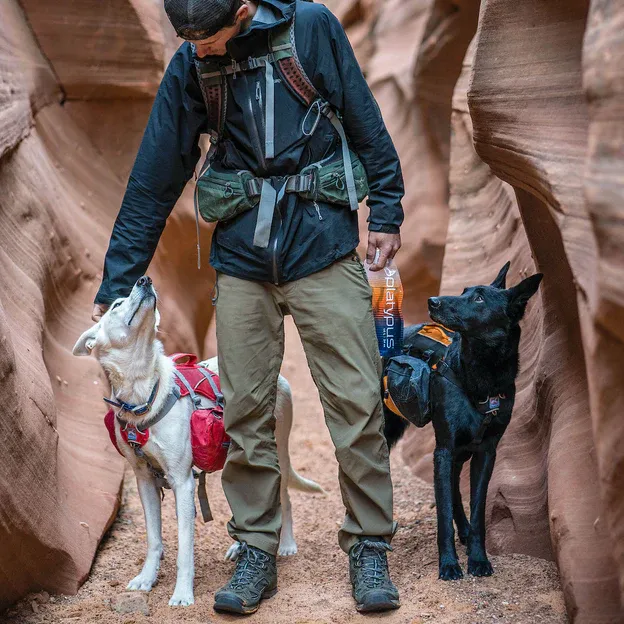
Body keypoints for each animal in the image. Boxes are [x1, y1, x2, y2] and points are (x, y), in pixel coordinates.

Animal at [74, 276, 322, 604]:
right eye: (115, 304)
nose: (145, 279)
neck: (144, 391)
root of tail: (275, 377)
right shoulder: (144, 480)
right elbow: (153, 539)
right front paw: (146, 579)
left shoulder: (182, 482)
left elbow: (184, 550)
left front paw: (182, 594)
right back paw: (240, 546)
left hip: (277, 450)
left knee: (285, 499)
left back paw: (286, 545)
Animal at [382, 262, 544, 580]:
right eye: (464, 291)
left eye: (479, 299)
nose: (432, 301)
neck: (482, 379)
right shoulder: (444, 450)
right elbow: (443, 513)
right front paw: (448, 564)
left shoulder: (485, 453)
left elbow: (477, 508)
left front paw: (478, 558)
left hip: (458, 452)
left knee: (455, 490)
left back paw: (466, 532)